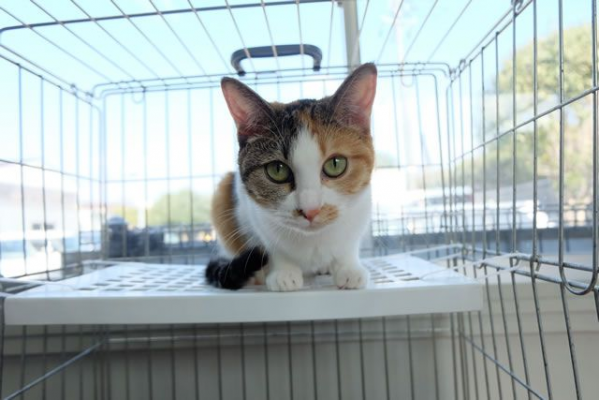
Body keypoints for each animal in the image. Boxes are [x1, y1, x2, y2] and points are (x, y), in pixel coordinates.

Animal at [205, 63, 377, 291]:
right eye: (277, 170)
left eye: (335, 164)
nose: (311, 210)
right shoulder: (252, 210)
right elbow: (271, 245)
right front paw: (283, 273)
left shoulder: (361, 206)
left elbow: (348, 244)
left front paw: (348, 269)